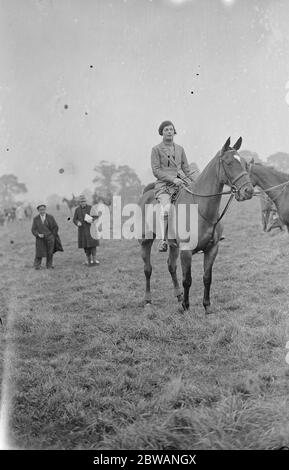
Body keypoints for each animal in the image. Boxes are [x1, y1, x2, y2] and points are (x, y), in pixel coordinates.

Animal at [138, 138, 253, 314]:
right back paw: (148, 300)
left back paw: (178, 296)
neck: (200, 208)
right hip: (146, 241)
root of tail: (147, 193)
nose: (248, 191)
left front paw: (207, 306)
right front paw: (186, 306)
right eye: (228, 163)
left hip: (174, 246)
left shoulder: (212, 249)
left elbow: (207, 278)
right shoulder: (186, 251)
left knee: (171, 267)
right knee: (147, 269)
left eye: (245, 163)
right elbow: (188, 279)